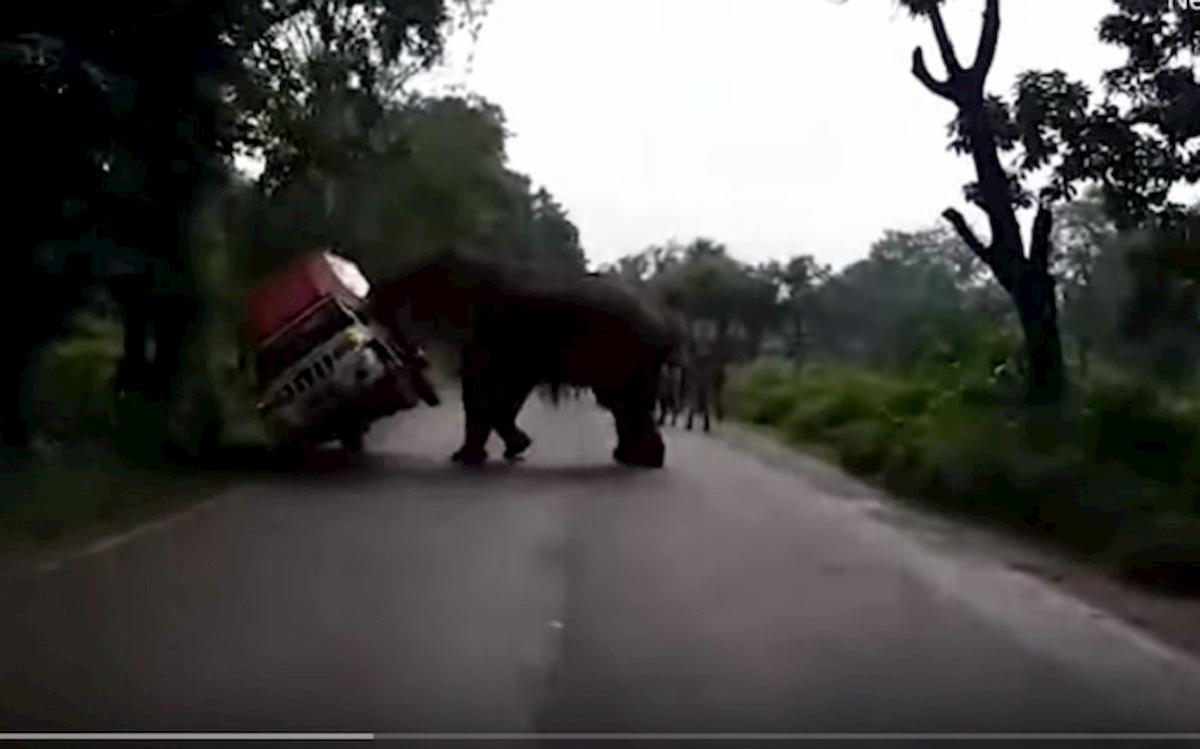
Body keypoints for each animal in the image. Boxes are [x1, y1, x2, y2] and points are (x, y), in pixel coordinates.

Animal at [370, 248, 684, 468]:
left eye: (419, 283)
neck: (473, 261)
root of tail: (669, 323)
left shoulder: (495, 332)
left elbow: (483, 391)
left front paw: (475, 456)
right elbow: (498, 391)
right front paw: (505, 451)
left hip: (628, 352)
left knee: (626, 403)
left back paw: (644, 461)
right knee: (623, 405)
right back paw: (633, 458)